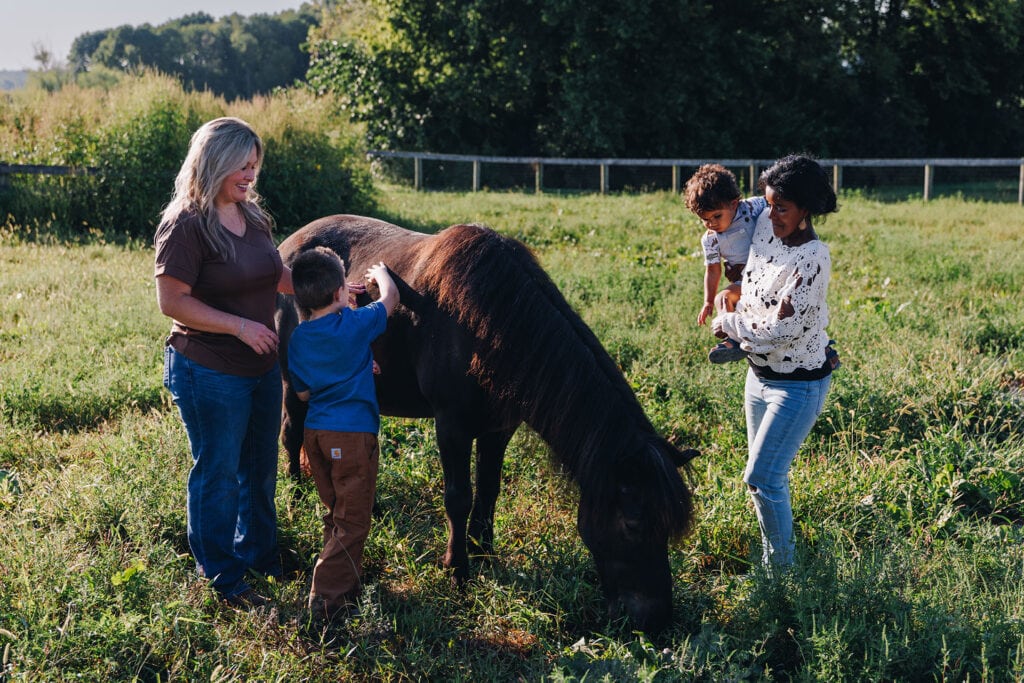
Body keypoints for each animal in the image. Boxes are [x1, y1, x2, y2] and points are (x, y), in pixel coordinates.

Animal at [276, 214, 698, 634]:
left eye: (668, 527)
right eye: (633, 524)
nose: (657, 620)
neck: (486, 328)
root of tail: (289, 244)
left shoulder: (498, 430)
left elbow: (490, 491)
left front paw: (485, 554)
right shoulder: (451, 427)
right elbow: (458, 497)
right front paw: (458, 569)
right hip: (292, 383)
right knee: (293, 434)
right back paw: (297, 494)